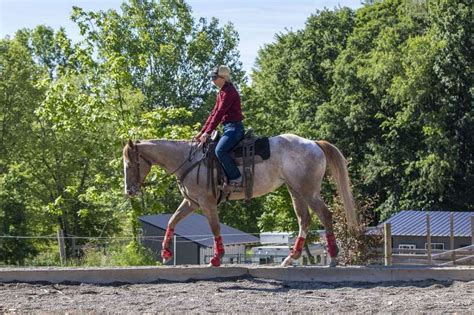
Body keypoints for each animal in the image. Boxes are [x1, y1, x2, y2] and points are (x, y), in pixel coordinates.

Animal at [124, 135, 358, 268]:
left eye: (130, 164)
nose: (129, 191)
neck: (189, 160)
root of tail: (314, 144)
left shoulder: (206, 202)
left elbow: (215, 227)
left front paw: (217, 258)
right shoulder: (192, 203)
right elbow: (172, 221)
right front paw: (165, 253)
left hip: (308, 191)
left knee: (324, 215)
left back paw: (333, 257)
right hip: (295, 191)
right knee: (305, 220)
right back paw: (290, 258)